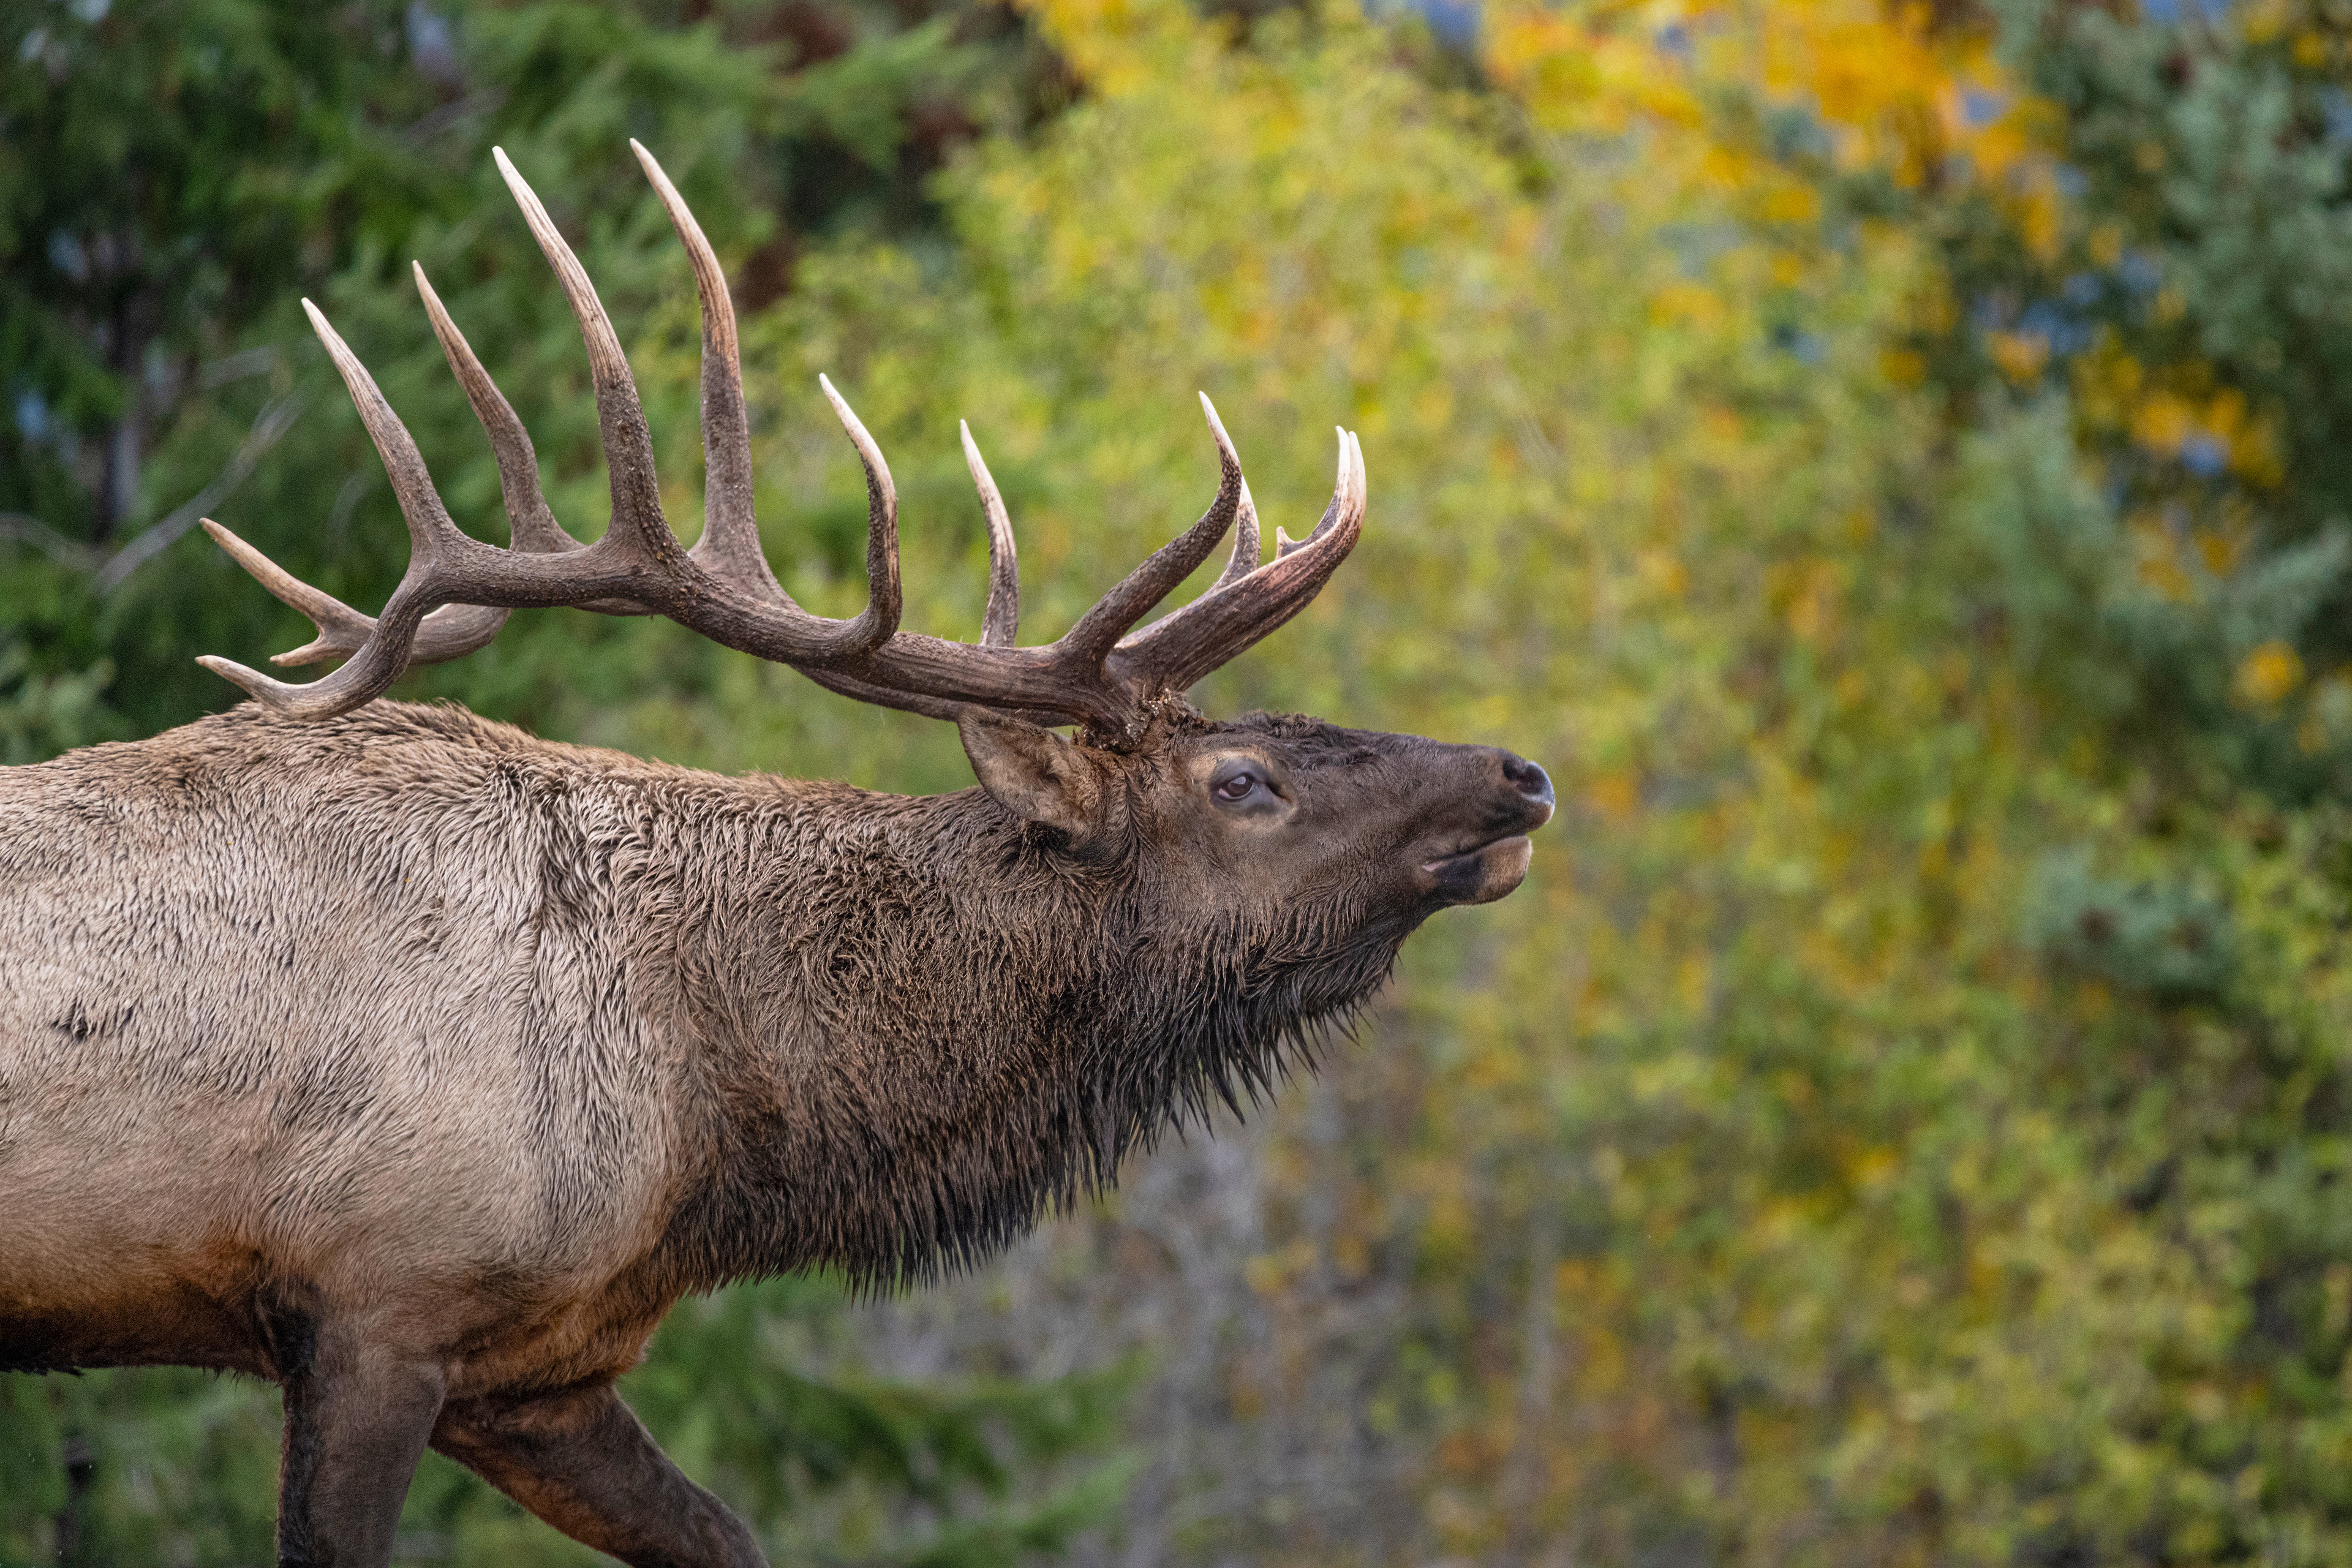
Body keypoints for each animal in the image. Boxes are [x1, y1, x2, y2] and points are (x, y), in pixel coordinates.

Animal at [0, 143, 1554, 1566]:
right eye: (1244, 780)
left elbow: (732, 1536)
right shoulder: (377, 1300)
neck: (717, 1127)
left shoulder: (538, 1371)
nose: (1517, 774)